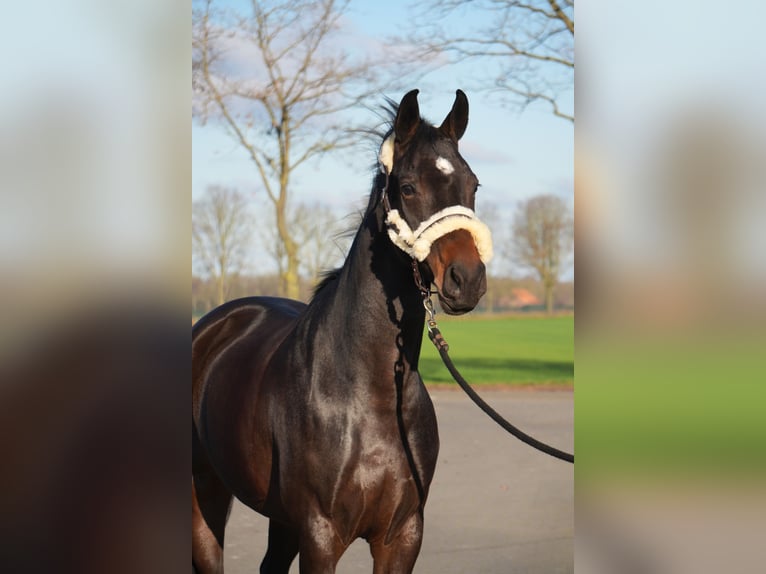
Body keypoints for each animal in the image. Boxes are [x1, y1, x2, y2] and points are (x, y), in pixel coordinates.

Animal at [192, 89, 493, 573]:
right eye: (408, 187)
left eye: (473, 185)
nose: (466, 279)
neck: (367, 397)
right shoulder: (320, 534)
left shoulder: (402, 535)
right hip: (206, 493)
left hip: (282, 519)